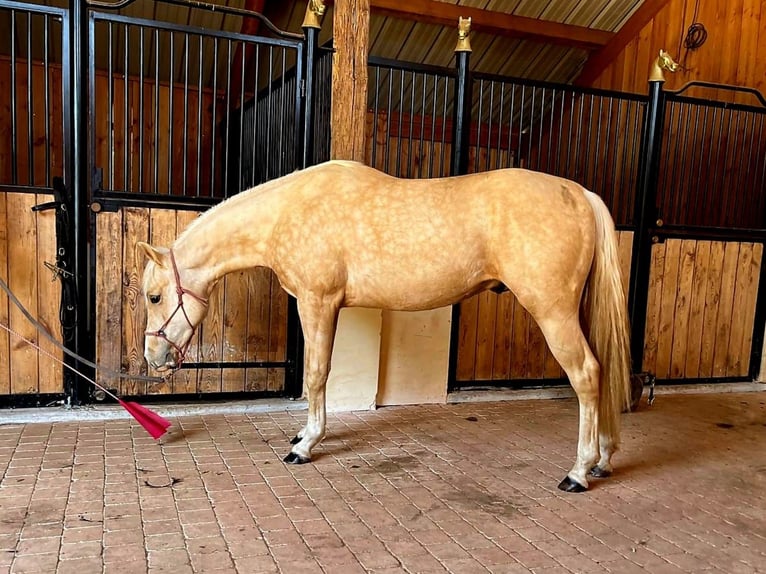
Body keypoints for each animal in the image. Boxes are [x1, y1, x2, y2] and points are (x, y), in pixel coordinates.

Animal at [138, 160, 631, 493]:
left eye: (154, 297)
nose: (153, 358)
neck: (289, 211)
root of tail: (579, 193)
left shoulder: (318, 303)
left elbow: (317, 374)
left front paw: (305, 445)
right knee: (603, 370)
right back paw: (604, 459)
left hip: (553, 311)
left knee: (586, 374)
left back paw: (578, 472)